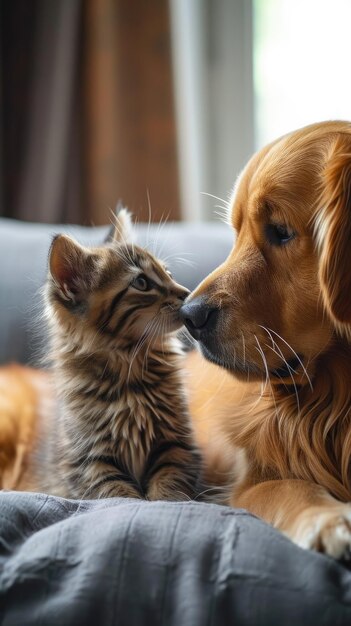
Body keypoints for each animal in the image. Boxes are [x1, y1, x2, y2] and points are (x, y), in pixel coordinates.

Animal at [43, 212, 202, 500]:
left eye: (168, 273)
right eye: (141, 283)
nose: (189, 295)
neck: (131, 367)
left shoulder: (176, 446)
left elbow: (169, 485)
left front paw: (165, 500)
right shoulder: (90, 462)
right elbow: (119, 496)